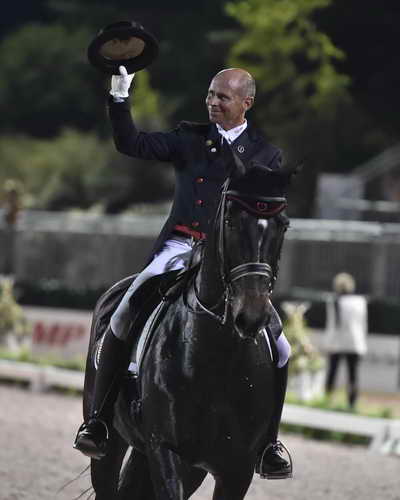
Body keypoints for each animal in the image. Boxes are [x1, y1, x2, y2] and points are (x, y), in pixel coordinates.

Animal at [81, 165, 294, 500]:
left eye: (283, 226)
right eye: (230, 220)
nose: (251, 316)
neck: (219, 355)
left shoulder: (238, 467)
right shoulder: (165, 449)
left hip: (183, 464)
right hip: (111, 441)